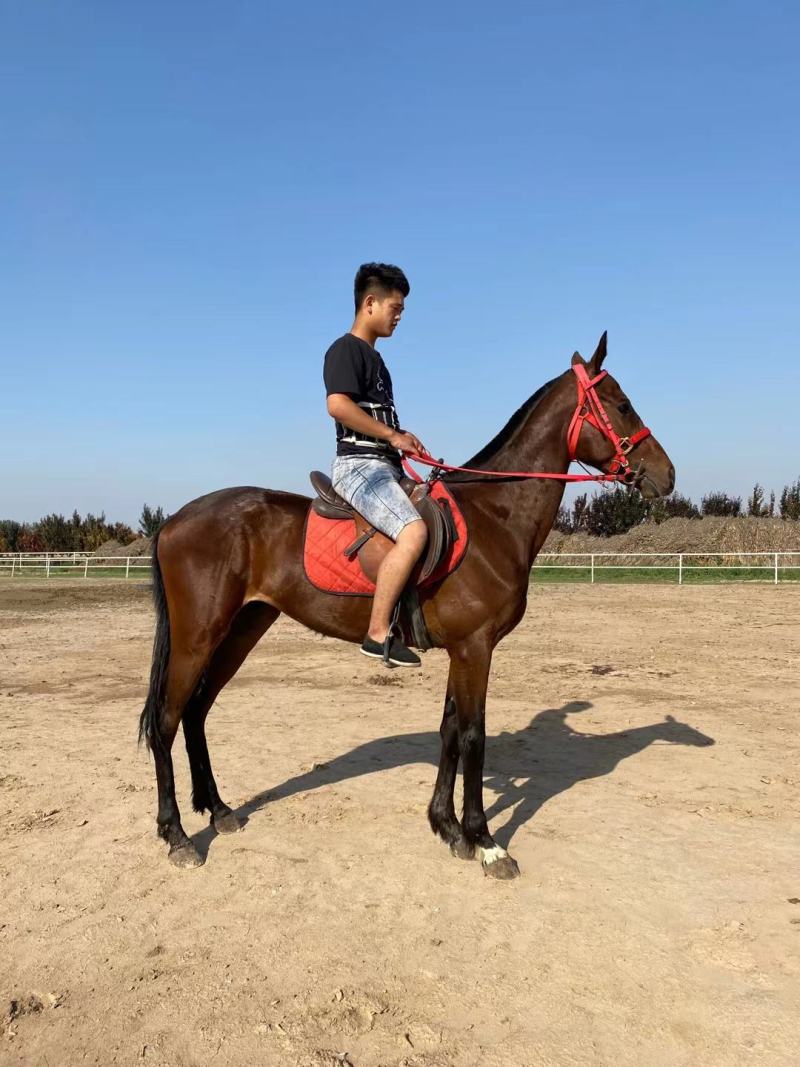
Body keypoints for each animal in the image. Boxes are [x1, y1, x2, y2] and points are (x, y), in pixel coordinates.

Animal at [138, 333, 675, 878]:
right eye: (622, 405)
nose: (667, 474)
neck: (495, 517)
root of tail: (176, 519)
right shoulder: (476, 648)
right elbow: (474, 736)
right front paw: (486, 842)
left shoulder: (462, 650)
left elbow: (449, 730)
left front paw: (447, 827)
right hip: (197, 636)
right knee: (166, 720)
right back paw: (176, 835)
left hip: (243, 628)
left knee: (197, 712)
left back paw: (219, 810)